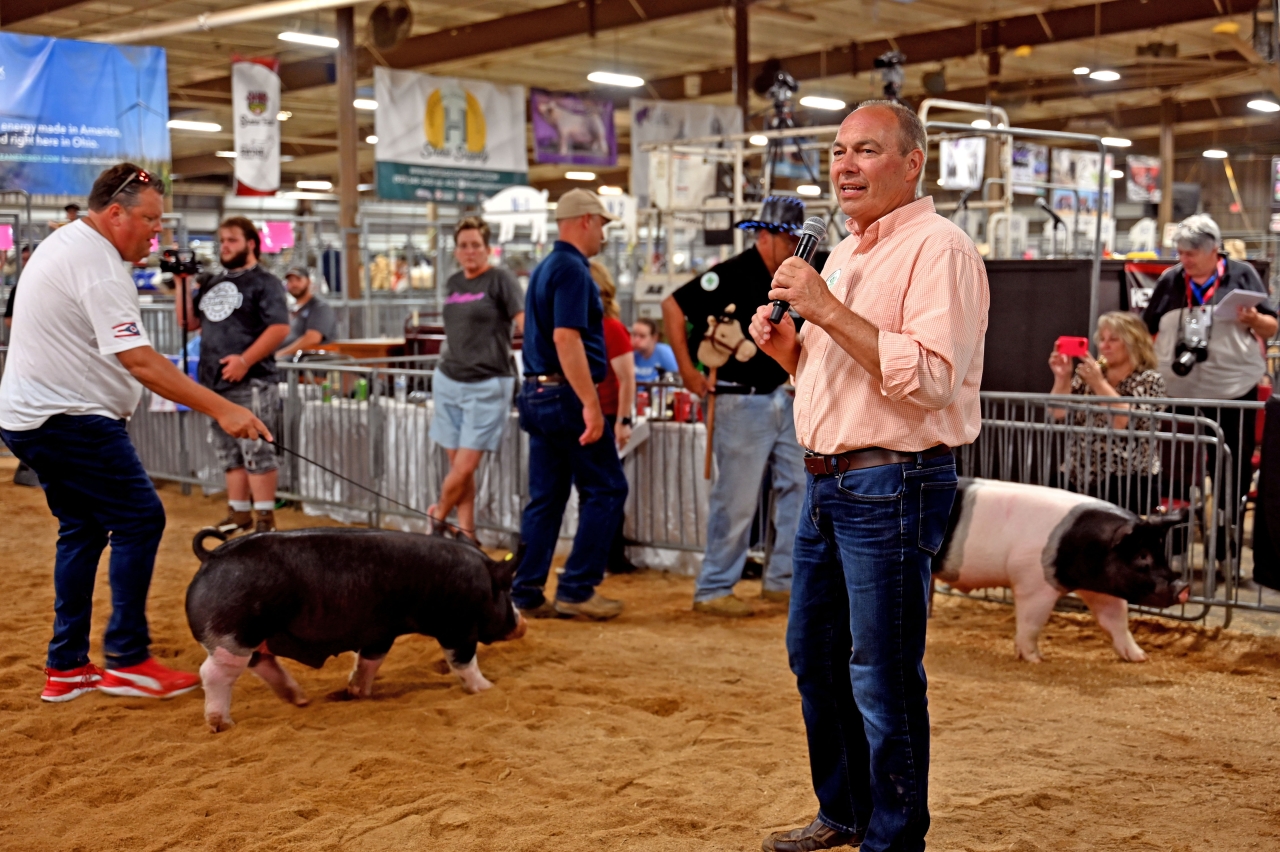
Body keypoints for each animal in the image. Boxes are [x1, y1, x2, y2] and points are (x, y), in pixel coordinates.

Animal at [185, 524, 524, 731]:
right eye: (507, 590)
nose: (523, 625)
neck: (481, 583)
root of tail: (211, 555)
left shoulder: (381, 631)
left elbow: (369, 660)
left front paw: (357, 693)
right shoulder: (458, 628)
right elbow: (464, 662)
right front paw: (487, 688)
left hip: (253, 635)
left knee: (262, 661)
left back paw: (300, 699)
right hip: (233, 633)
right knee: (214, 673)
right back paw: (221, 724)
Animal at [931, 473, 1187, 660]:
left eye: (1161, 553)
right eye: (1142, 556)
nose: (1183, 587)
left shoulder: (1100, 588)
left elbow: (1115, 620)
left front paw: (1140, 657)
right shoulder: (1032, 583)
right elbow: (1031, 623)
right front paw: (1035, 659)